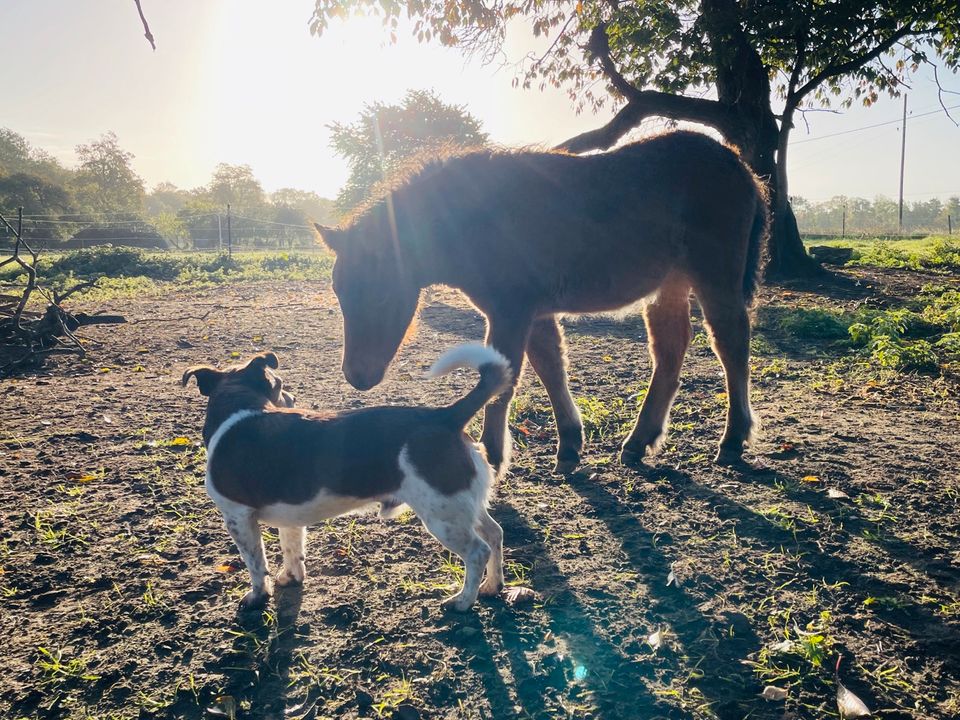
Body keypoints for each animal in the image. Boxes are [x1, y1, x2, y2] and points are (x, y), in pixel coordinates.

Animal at [318, 132, 768, 476]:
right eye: (339, 291)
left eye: (381, 292)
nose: (357, 376)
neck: (477, 218)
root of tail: (739, 165)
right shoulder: (534, 313)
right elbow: (550, 368)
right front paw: (569, 445)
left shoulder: (511, 310)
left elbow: (501, 377)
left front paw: (492, 457)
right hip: (669, 285)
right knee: (671, 351)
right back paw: (639, 442)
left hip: (715, 276)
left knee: (730, 343)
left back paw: (732, 440)